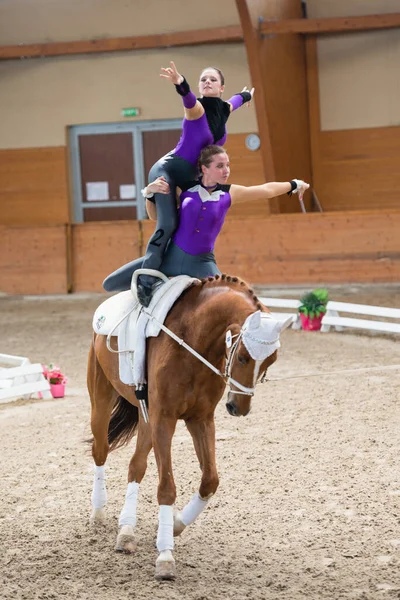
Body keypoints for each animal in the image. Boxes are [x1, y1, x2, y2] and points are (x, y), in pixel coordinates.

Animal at [88, 274, 284, 580]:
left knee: (136, 466)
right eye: (242, 357)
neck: (194, 342)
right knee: (100, 451)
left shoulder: (200, 418)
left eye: (271, 361)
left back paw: (127, 530)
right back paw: (99, 513)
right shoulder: (165, 419)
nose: (238, 408)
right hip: (102, 399)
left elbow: (210, 480)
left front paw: (177, 524)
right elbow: (167, 486)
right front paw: (165, 556)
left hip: (146, 418)